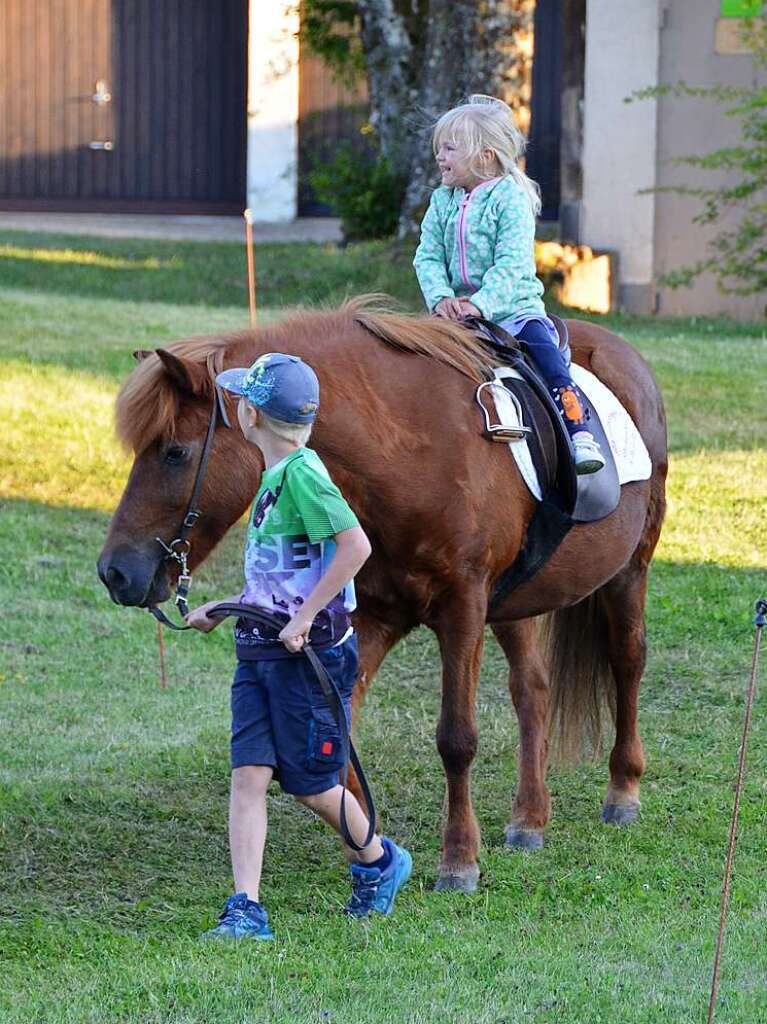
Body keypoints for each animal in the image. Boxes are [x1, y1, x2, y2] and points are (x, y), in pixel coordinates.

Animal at [97, 296, 663, 888]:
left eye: (175, 452)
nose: (114, 572)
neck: (409, 449)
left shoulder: (463, 608)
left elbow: (456, 738)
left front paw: (458, 858)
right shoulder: (375, 614)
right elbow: (342, 734)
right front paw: (366, 846)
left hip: (629, 570)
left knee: (627, 661)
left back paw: (623, 790)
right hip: (516, 601)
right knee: (532, 689)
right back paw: (529, 817)